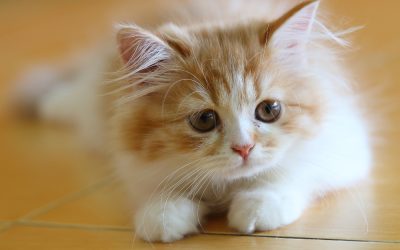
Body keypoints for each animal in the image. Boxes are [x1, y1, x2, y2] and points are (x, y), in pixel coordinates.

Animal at [18, 0, 370, 242]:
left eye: (269, 110)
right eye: (204, 120)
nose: (244, 148)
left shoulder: (342, 145)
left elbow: (288, 171)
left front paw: (258, 203)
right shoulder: (137, 163)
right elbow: (160, 191)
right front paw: (163, 214)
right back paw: (50, 103)